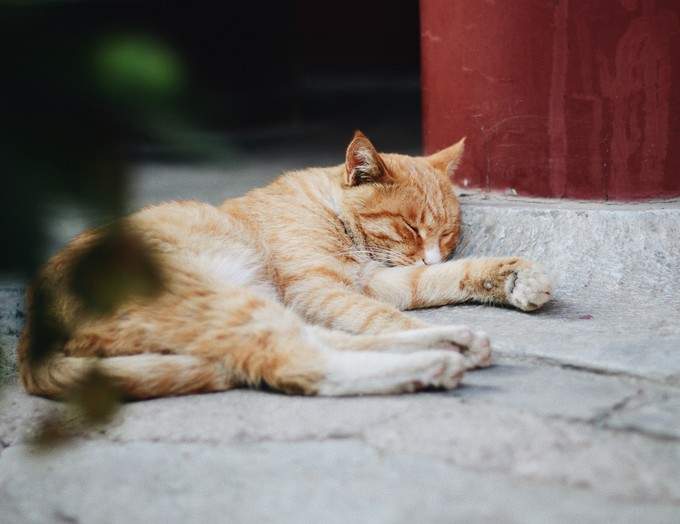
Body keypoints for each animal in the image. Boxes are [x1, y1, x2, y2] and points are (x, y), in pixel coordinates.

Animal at [17, 131, 552, 398]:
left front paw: (513, 276)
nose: (434, 247)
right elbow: (382, 316)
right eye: (408, 227)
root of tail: (29, 340)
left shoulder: (369, 281)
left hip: (247, 301)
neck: (329, 208)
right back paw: (435, 362)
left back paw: (453, 341)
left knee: (317, 341)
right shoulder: (317, 287)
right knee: (299, 362)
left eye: (446, 233)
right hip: (220, 300)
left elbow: (433, 280)